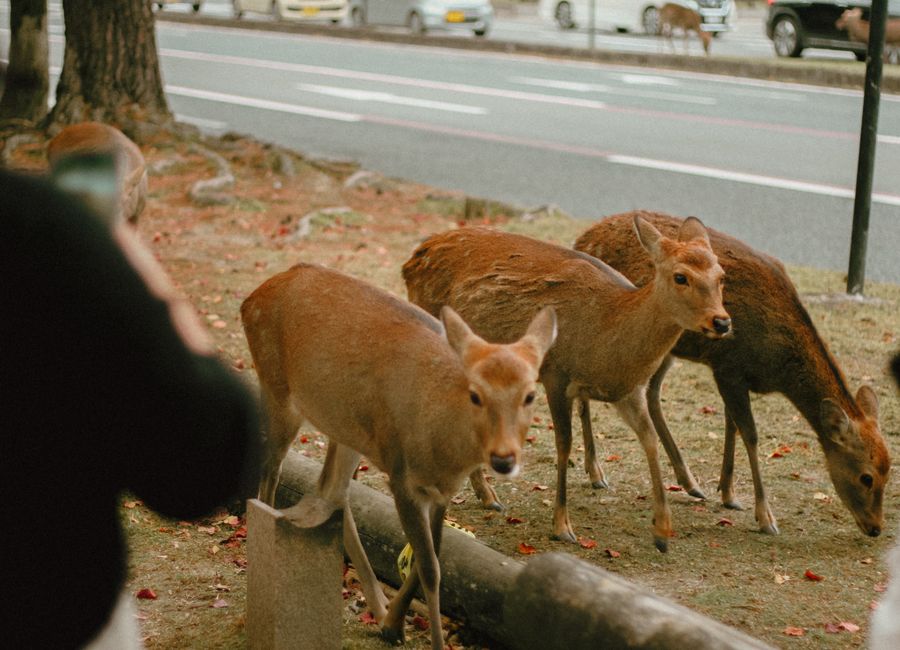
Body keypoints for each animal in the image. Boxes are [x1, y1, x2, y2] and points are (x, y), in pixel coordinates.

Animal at [241, 263, 556, 650]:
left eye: (530, 395)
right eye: (475, 394)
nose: (503, 458)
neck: (444, 454)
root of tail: (252, 298)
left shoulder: (440, 492)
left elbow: (430, 557)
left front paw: (394, 623)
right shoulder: (401, 475)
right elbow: (430, 568)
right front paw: (430, 640)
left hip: (346, 428)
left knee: (332, 489)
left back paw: (377, 607)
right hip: (278, 390)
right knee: (270, 476)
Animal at [402, 216, 731, 552]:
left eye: (721, 276)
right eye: (681, 277)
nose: (721, 321)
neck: (607, 338)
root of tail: (413, 259)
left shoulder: (629, 392)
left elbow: (649, 439)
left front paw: (662, 532)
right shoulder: (556, 375)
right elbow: (564, 443)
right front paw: (562, 526)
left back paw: (486, 495)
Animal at [573, 210, 889, 538]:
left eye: (889, 472)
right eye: (866, 477)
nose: (875, 528)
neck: (779, 366)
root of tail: (583, 237)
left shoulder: (734, 375)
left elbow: (731, 425)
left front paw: (728, 493)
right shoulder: (728, 366)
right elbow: (749, 433)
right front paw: (765, 517)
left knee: (651, 392)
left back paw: (690, 483)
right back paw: (596, 472)